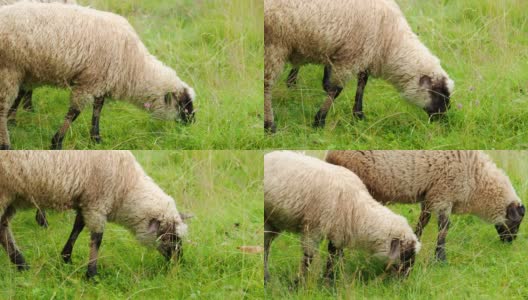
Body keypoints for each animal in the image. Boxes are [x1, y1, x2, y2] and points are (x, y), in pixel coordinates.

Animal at [0, 1, 195, 148]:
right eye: (183, 106)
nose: (191, 126)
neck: (133, 65)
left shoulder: (102, 81)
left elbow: (97, 108)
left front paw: (95, 138)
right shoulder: (89, 82)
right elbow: (74, 112)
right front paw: (57, 142)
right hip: (9, 70)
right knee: (3, 106)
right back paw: (6, 143)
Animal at [0, 151, 190, 278]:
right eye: (169, 236)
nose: (179, 262)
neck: (126, 188)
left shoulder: (86, 202)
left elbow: (77, 228)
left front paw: (66, 258)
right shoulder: (97, 204)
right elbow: (97, 239)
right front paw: (91, 274)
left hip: (12, 198)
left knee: (3, 228)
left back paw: (22, 265)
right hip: (4, 194)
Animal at [264, 0, 454, 132]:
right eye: (438, 93)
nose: (443, 119)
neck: (389, 41)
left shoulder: (360, 54)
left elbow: (361, 83)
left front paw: (358, 115)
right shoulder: (350, 57)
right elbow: (335, 90)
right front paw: (319, 121)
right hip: (275, 44)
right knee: (267, 85)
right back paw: (270, 126)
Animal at [264, 151, 420, 284]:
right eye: (406, 255)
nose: (404, 281)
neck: (359, 209)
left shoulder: (337, 232)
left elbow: (332, 258)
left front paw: (328, 282)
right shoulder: (313, 229)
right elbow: (308, 258)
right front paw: (298, 284)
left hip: (273, 221)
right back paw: (267, 279)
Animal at [326, 151, 524, 262]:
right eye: (517, 221)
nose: (510, 242)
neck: (477, 180)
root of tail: (329, 155)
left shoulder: (430, 197)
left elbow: (423, 222)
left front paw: (417, 242)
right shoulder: (444, 194)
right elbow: (443, 228)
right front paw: (440, 260)